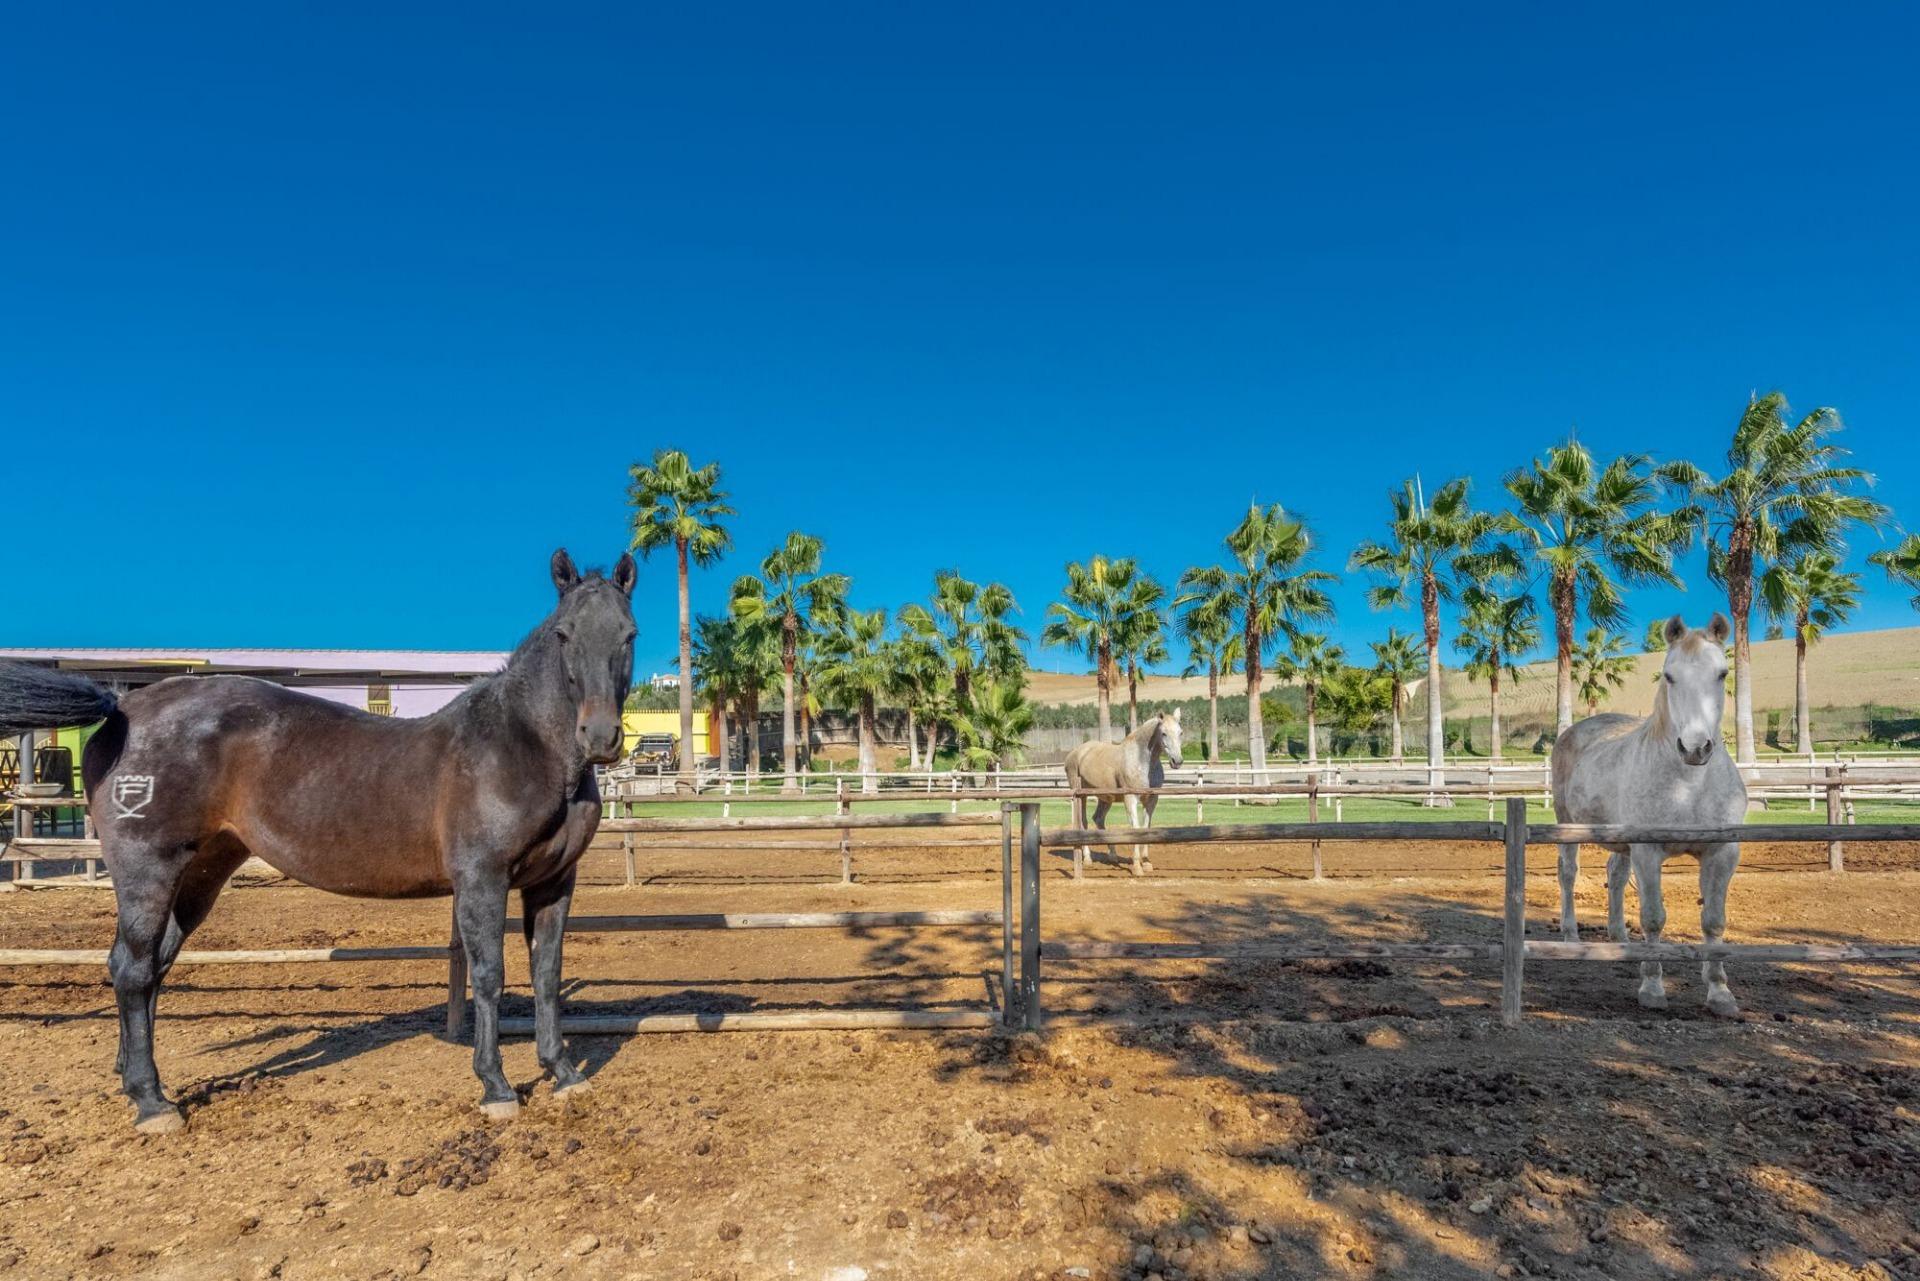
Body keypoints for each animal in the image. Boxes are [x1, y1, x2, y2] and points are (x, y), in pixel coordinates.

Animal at [0, 553, 641, 1129]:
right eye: (563, 635)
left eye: (629, 634)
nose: (601, 736)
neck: (521, 747)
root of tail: (123, 707)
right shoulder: (482, 881)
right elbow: (490, 976)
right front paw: (497, 1088)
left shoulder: (553, 883)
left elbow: (547, 974)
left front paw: (563, 1073)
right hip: (147, 871)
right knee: (131, 968)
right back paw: (153, 1103)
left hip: (200, 874)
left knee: (152, 965)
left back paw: (134, 1079)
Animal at [1067, 710, 1182, 883]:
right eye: (1164, 733)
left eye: (1180, 732)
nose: (1177, 761)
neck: (1142, 761)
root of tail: (1074, 753)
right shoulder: (1131, 799)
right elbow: (1135, 829)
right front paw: (1136, 867)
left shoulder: (1151, 800)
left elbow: (1146, 828)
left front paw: (1146, 863)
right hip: (1082, 796)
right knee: (1084, 822)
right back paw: (1087, 859)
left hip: (1105, 798)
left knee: (1098, 819)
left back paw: (1112, 856)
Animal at [1551, 614, 1751, 1014]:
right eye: (1669, 676)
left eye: (1722, 674)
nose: (1695, 748)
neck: (1689, 786)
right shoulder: (1648, 852)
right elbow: (1654, 917)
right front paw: (1653, 988)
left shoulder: (1722, 853)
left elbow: (1714, 921)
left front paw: (1720, 992)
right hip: (1568, 824)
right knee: (1568, 874)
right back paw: (1571, 937)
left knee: (1615, 873)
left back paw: (1620, 939)